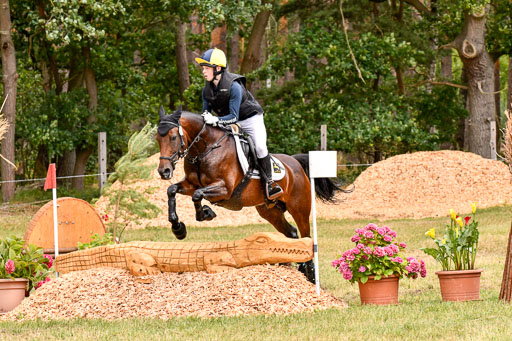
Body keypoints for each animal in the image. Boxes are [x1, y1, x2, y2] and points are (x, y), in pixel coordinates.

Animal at [156, 105, 348, 280]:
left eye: (173, 137)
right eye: (157, 138)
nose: (164, 171)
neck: (205, 149)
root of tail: (295, 163)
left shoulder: (224, 189)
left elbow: (197, 195)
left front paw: (205, 213)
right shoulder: (190, 184)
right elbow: (172, 190)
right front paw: (178, 228)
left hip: (299, 208)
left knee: (306, 236)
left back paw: (310, 273)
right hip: (270, 211)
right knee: (292, 233)